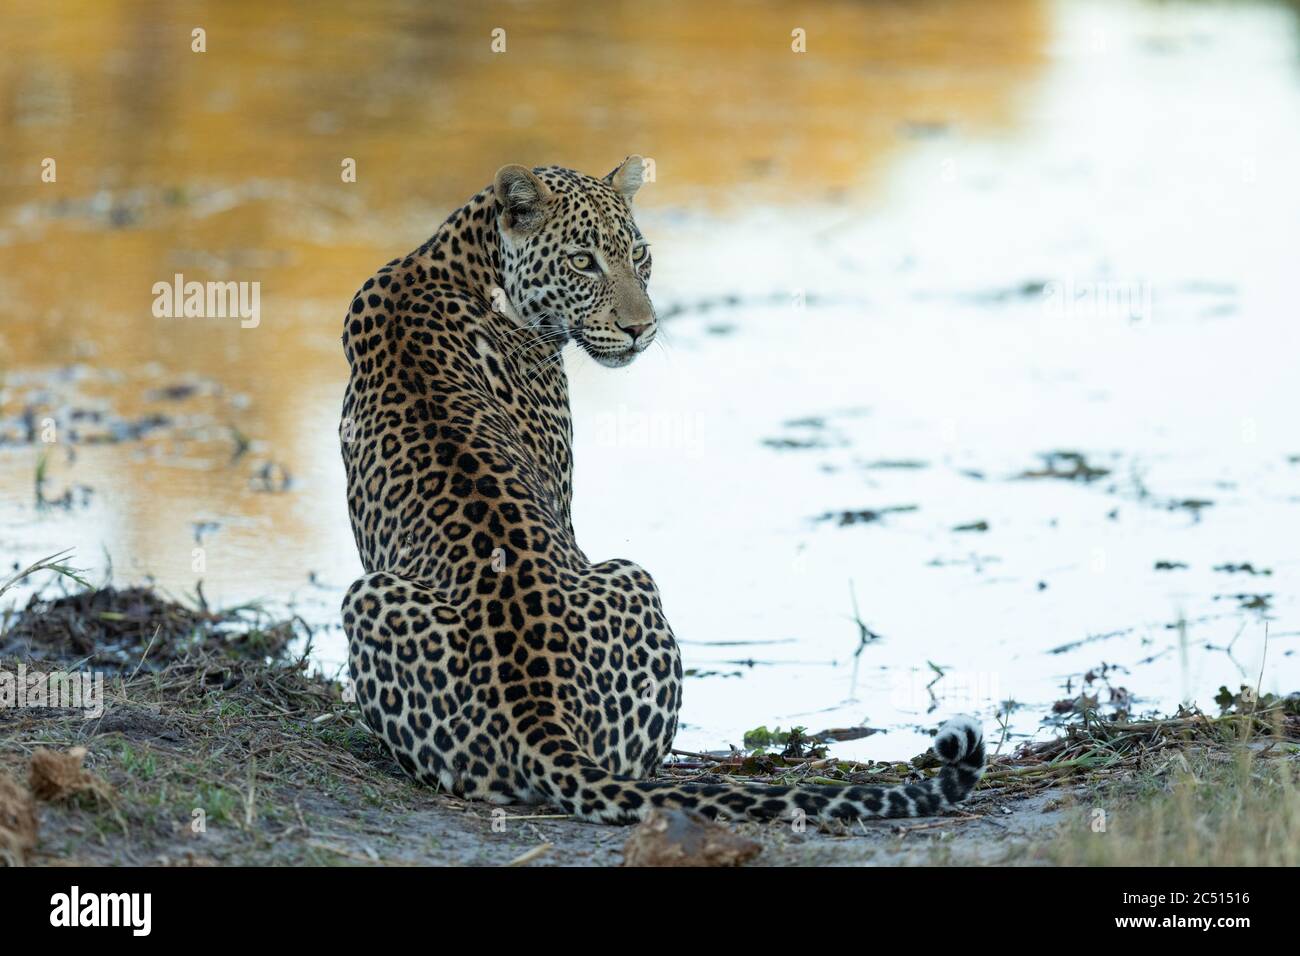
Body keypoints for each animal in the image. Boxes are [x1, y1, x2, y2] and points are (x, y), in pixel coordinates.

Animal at [338, 155, 982, 822]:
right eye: (582, 261)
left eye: (639, 254)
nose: (641, 329)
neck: (455, 260)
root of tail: (538, 710)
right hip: (612, 573)